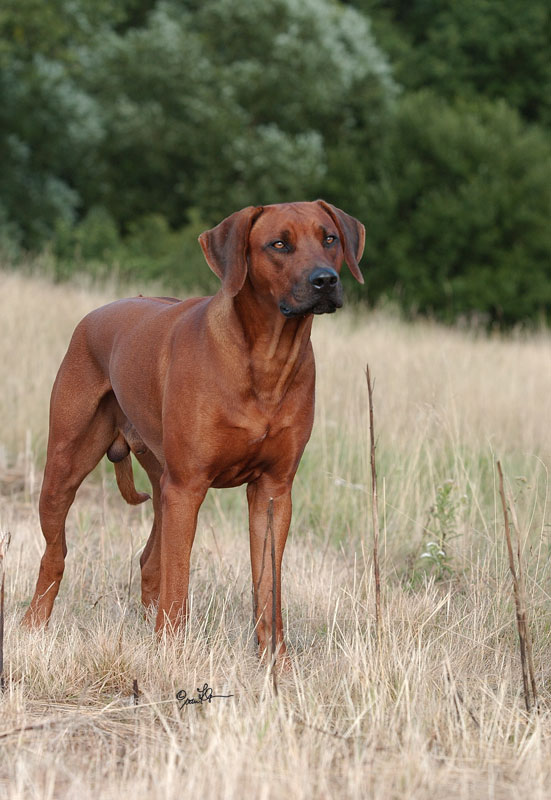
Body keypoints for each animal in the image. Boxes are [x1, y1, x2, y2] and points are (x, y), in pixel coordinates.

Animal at [22, 202, 366, 664]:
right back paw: (33, 626)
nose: (325, 280)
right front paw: (170, 655)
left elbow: (268, 585)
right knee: (56, 553)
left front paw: (274, 660)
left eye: (329, 238)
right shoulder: (187, 487)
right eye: (279, 244)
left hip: (160, 482)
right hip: (65, 467)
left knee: (149, 559)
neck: (267, 357)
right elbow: (179, 581)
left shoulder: (273, 490)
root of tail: (98, 312)